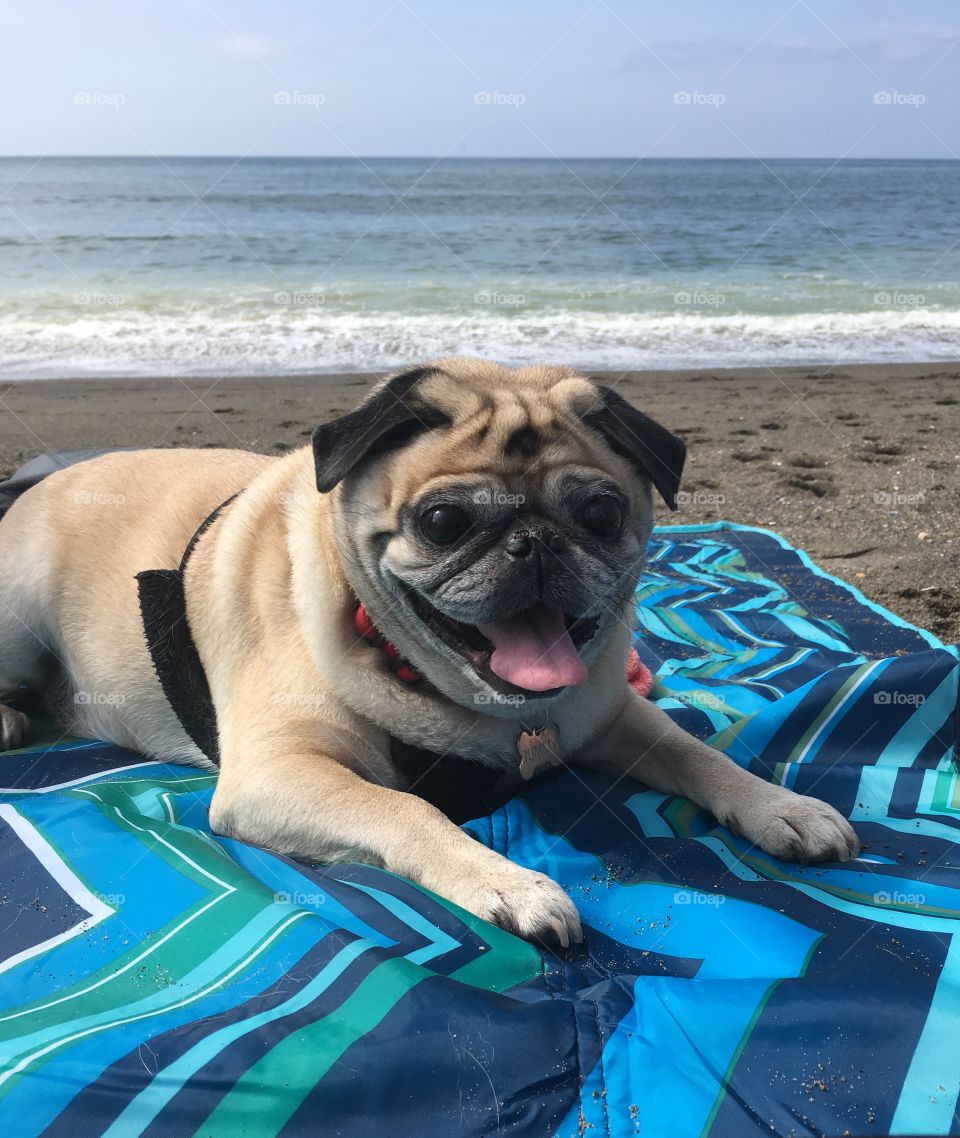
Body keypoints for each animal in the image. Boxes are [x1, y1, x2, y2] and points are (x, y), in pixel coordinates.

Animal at [0, 361, 855, 942]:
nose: (535, 543)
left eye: (602, 515)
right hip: (17, 606)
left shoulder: (612, 715)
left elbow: (699, 755)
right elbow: (405, 807)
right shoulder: (275, 774)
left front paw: (783, 807)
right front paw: (506, 883)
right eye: (444, 522)